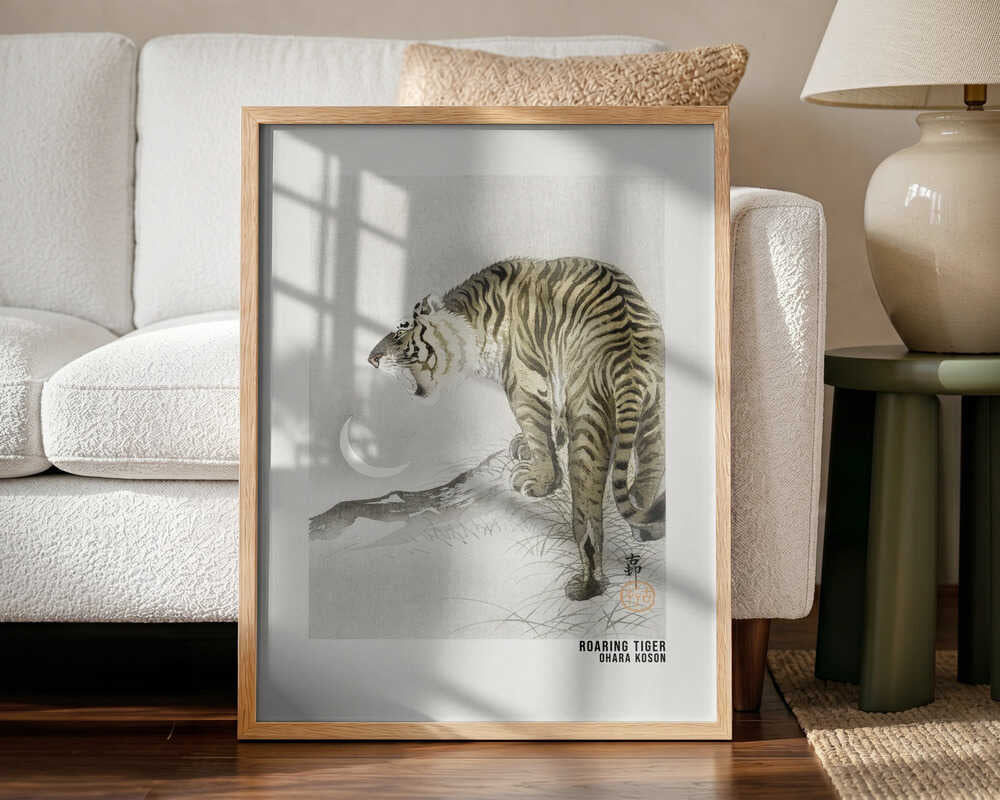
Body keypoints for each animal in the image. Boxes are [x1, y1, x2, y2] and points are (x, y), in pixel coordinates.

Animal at [367, 257, 665, 601]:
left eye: (402, 330)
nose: (371, 359)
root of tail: (629, 355)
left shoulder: (523, 384)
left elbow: (537, 429)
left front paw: (539, 479)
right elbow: (550, 422)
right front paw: (534, 443)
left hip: (589, 427)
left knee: (588, 517)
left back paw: (587, 585)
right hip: (655, 416)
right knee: (650, 472)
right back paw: (647, 529)